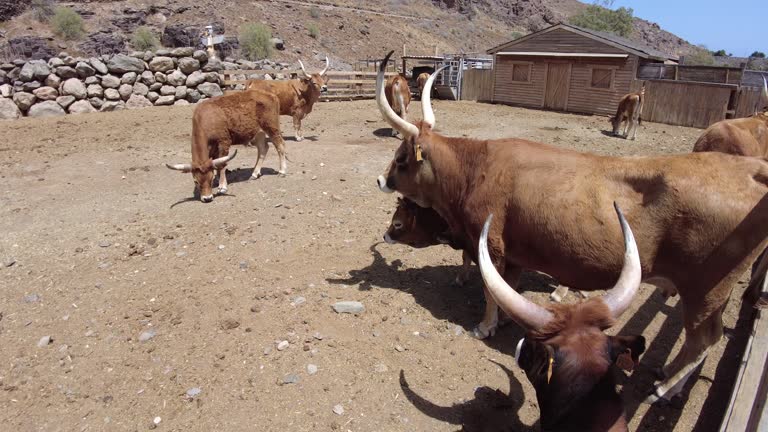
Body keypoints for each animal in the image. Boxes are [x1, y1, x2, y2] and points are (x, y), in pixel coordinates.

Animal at [374, 49, 768, 404]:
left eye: (402, 158)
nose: (380, 179)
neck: (476, 169)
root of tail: (747, 171)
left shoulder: (492, 244)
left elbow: (490, 291)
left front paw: (485, 327)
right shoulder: (513, 253)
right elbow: (507, 287)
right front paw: (503, 321)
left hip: (705, 294)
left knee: (705, 341)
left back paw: (665, 389)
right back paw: (669, 377)